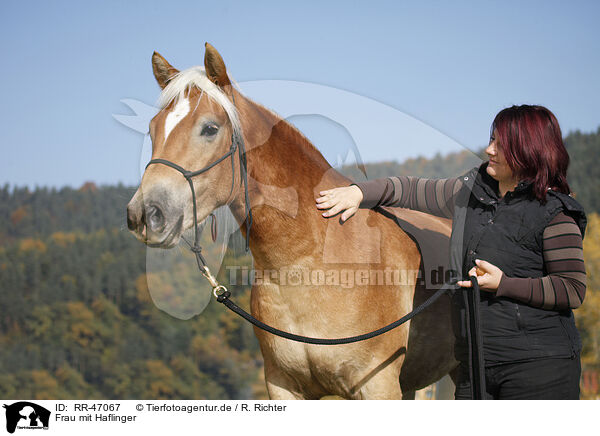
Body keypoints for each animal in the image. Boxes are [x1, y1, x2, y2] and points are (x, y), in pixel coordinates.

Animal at [125, 43, 454, 398]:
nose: (144, 213)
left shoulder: (377, 385)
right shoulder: (282, 384)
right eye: (153, 129)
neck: (308, 263)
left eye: (210, 128)